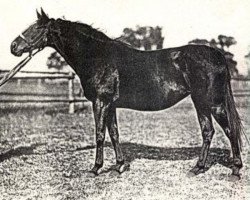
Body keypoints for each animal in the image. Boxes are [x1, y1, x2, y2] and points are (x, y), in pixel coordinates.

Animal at [10, 8, 244, 179]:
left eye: (35, 28)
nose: (13, 46)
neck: (97, 57)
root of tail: (217, 54)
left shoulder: (101, 102)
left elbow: (100, 134)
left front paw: (96, 168)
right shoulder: (110, 105)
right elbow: (114, 134)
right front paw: (119, 166)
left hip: (213, 103)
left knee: (229, 130)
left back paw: (235, 169)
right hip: (200, 102)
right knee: (208, 131)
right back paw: (198, 167)